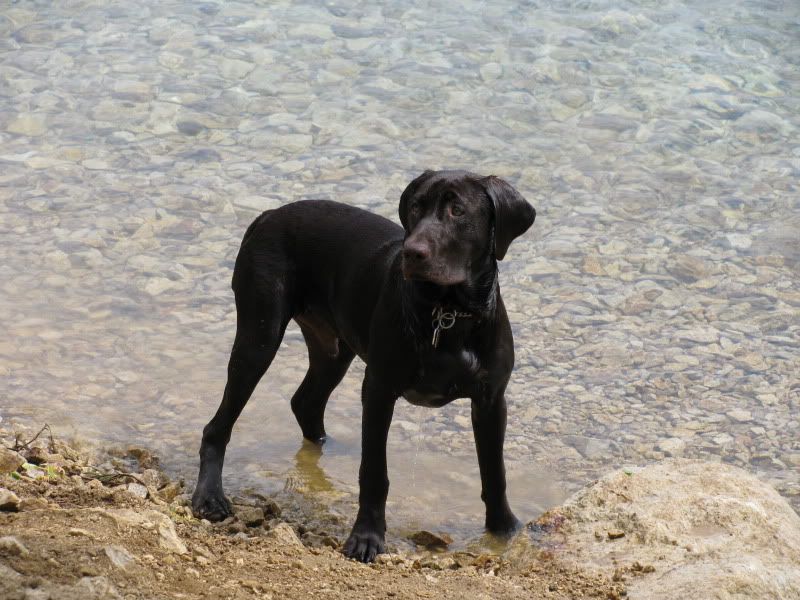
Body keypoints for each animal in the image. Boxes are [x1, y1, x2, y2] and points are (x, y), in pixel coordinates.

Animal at [191, 169, 536, 564]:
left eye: (458, 210)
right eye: (416, 207)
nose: (412, 252)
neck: (447, 313)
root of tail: (268, 215)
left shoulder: (491, 399)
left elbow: (495, 473)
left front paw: (504, 529)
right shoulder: (379, 390)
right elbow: (374, 472)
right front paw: (367, 537)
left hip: (334, 349)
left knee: (305, 401)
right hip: (258, 338)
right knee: (217, 427)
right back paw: (209, 497)